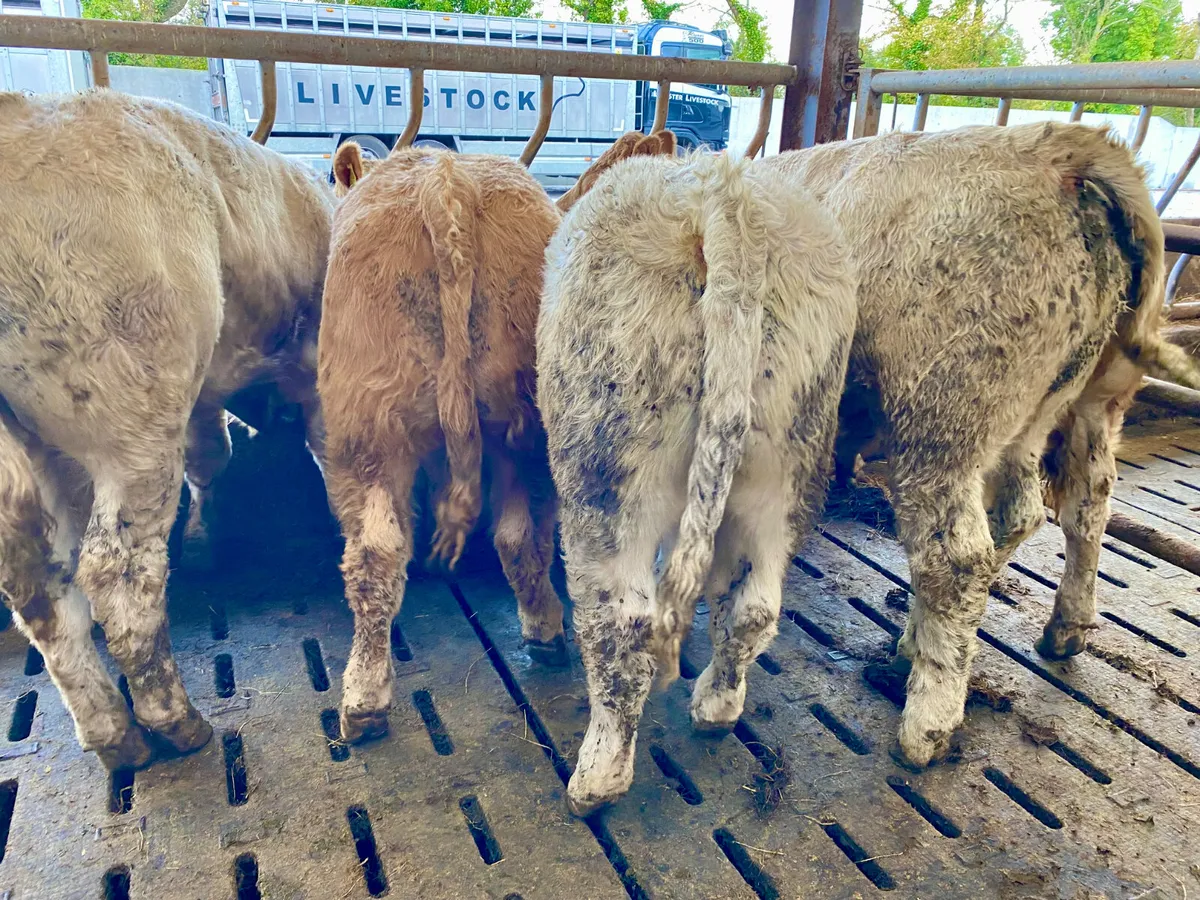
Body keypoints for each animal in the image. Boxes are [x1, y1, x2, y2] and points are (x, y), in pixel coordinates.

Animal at [0, 89, 333, 770]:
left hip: (30, 449)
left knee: (41, 588)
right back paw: (174, 720)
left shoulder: (206, 395)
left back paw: (114, 732)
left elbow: (212, 455)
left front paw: (206, 539)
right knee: (116, 570)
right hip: (134, 406)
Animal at [318, 131, 677, 744]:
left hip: (371, 427)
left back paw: (365, 697)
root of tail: (445, 180)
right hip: (511, 428)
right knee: (510, 536)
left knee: (378, 553)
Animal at [537, 151, 859, 816]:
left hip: (605, 470)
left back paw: (597, 776)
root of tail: (723, 193)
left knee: (623, 625)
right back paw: (716, 706)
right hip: (787, 460)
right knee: (753, 604)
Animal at [761, 122, 1200, 771]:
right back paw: (1062, 631)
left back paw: (927, 721)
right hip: (1084, 401)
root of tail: (1068, 151)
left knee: (958, 556)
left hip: (947, 411)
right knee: (1071, 507)